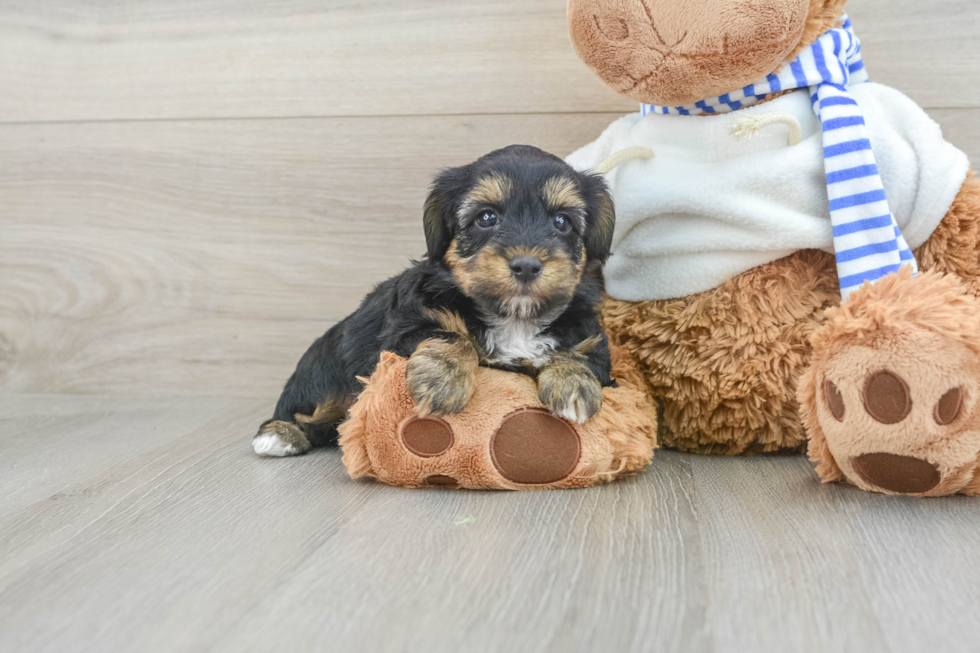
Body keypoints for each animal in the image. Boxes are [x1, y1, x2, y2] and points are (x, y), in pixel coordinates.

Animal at [251, 145, 612, 456]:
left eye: (562, 222)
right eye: (486, 218)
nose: (526, 265)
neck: (513, 317)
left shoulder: (592, 341)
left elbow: (577, 355)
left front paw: (574, 386)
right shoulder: (403, 330)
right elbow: (450, 336)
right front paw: (442, 382)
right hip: (322, 372)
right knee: (309, 411)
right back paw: (279, 434)